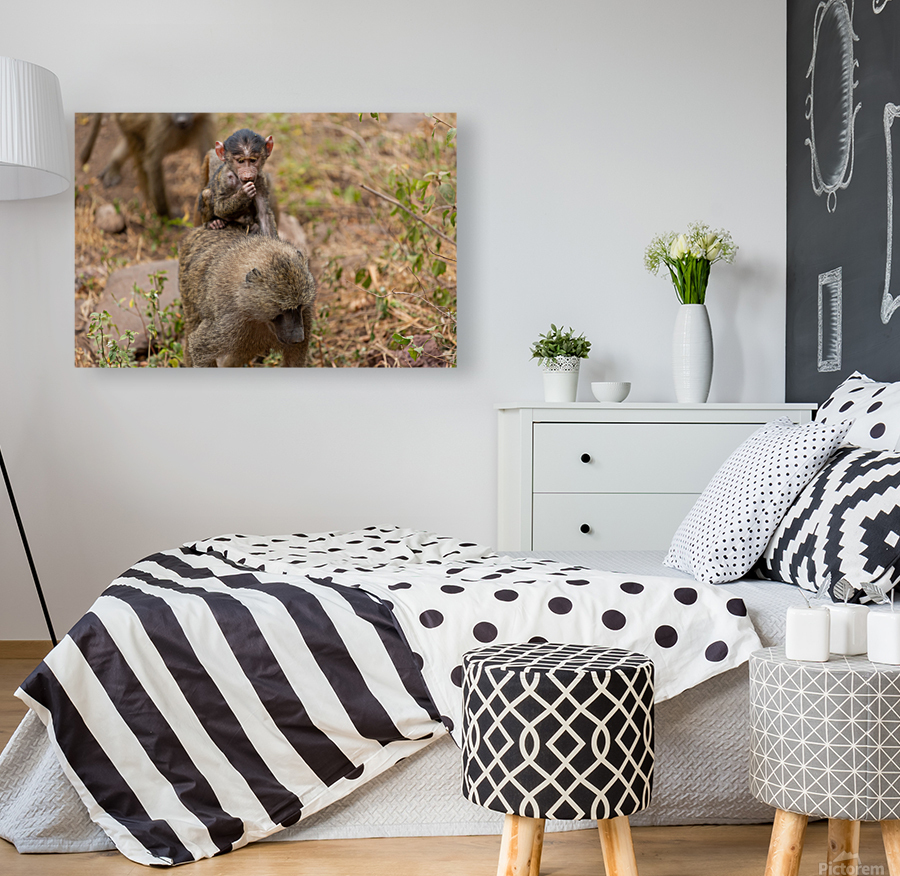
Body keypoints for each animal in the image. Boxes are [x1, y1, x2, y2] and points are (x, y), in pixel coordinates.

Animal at [79, 113, 216, 218]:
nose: (182, 120)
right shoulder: (160, 126)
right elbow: (153, 164)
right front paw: (166, 215)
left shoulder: (206, 121)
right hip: (125, 121)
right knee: (140, 154)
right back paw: (150, 205)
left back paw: (114, 166)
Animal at [178, 226, 316, 367]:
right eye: (284, 310)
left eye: (299, 307)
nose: (298, 338)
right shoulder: (229, 324)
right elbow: (198, 348)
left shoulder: (304, 316)